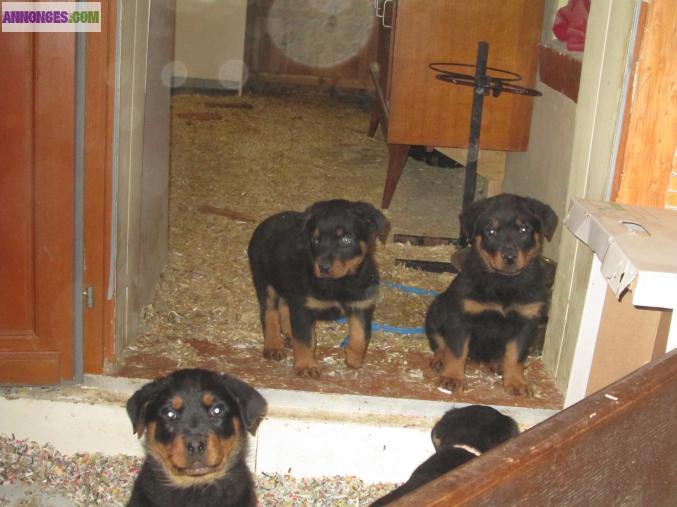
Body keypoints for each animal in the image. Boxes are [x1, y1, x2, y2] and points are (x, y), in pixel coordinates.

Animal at [248, 200, 388, 380]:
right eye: (315, 240)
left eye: (346, 239)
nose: (323, 267)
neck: (340, 283)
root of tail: (266, 222)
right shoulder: (303, 307)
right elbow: (305, 339)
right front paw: (306, 366)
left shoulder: (361, 304)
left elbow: (361, 336)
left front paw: (353, 359)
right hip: (265, 282)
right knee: (270, 314)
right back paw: (273, 346)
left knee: (284, 307)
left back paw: (288, 334)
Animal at [426, 194, 556, 396]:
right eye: (491, 231)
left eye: (524, 229)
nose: (509, 257)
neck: (504, 282)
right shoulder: (461, 316)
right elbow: (457, 350)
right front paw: (452, 377)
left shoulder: (526, 321)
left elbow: (516, 355)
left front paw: (516, 382)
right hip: (437, 310)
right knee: (440, 342)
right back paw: (440, 360)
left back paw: (498, 365)